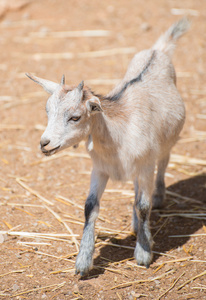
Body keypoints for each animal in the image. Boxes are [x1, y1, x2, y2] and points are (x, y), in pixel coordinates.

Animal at [26, 18, 190, 276]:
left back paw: (158, 198)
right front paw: (83, 262)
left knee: (163, 164)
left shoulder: (146, 165)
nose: (45, 143)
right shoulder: (100, 169)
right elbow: (90, 206)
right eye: (47, 111)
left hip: (164, 146)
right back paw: (135, 223)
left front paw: (143, 253)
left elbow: (143, 206)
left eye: (75, 117)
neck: (118, 135)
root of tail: (158, 51)